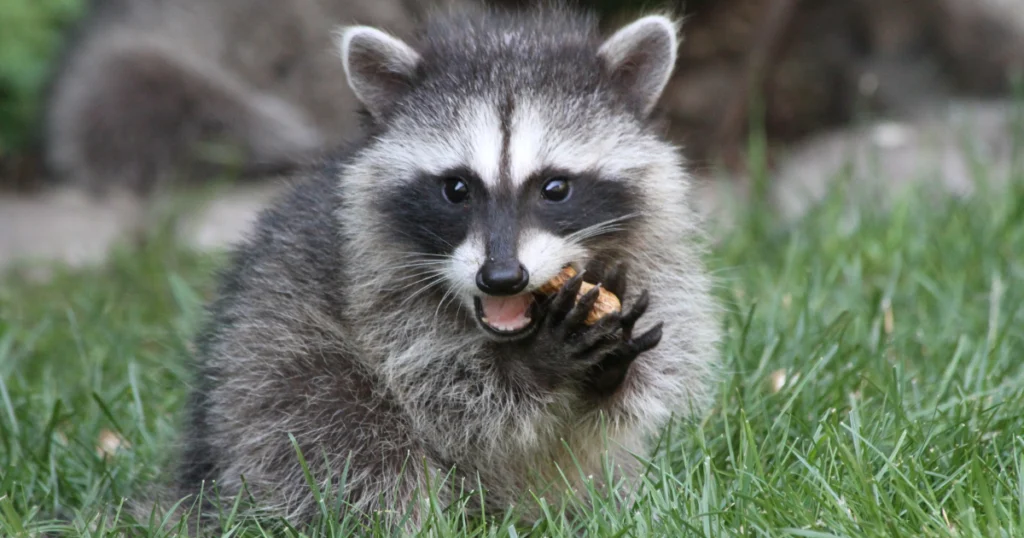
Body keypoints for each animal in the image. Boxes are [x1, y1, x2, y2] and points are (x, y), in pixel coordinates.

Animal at [157, 5, 720, 532]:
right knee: (347, 436)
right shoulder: (372, 290)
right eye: (456, 188)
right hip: (266, 375)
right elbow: (445, 394)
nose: (502, 278)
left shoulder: (654, 258)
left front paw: (613, 363)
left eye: (555, 187)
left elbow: (651, 374)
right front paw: (537, 364)